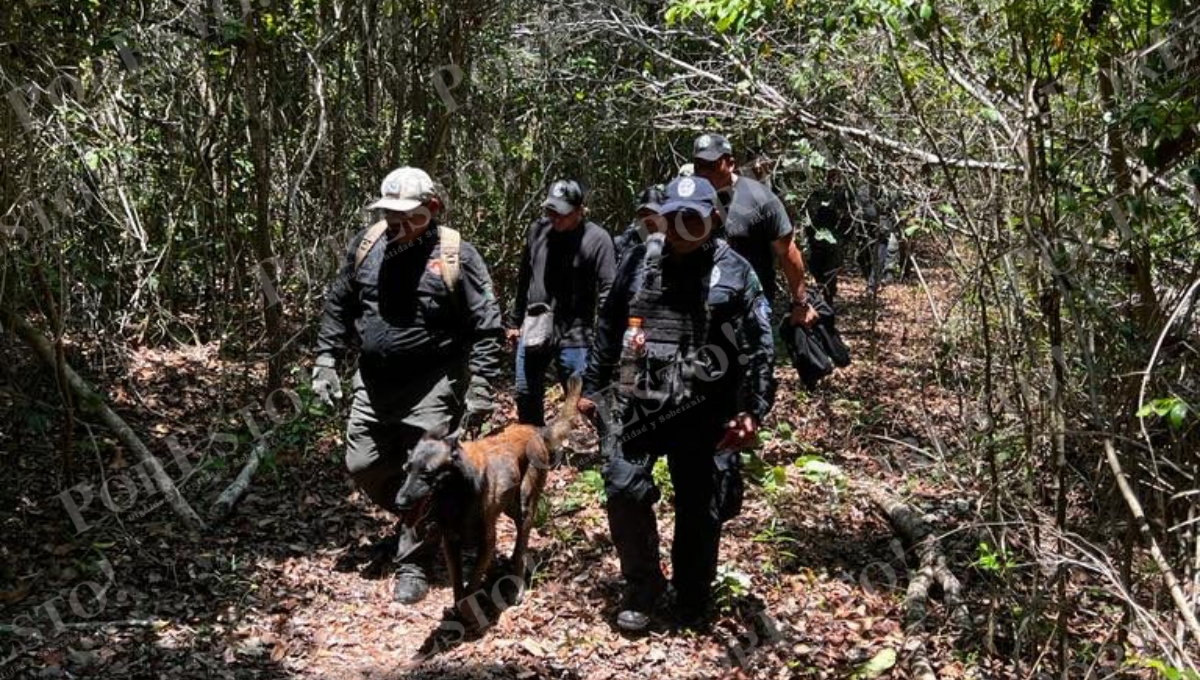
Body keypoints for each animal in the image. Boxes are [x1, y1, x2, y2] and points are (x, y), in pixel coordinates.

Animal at [393, 374, 580, 614]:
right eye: (407, 469)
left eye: (427, 474)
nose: (399, 502)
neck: (456, 496)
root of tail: (535, 430)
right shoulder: (451, 544)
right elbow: (457, 583)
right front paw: (458, 607)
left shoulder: (487, 541)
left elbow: (472, 582)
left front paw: (467, 610)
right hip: (509, 506)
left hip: (525, 506)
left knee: (522, 549)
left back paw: (517, 587)